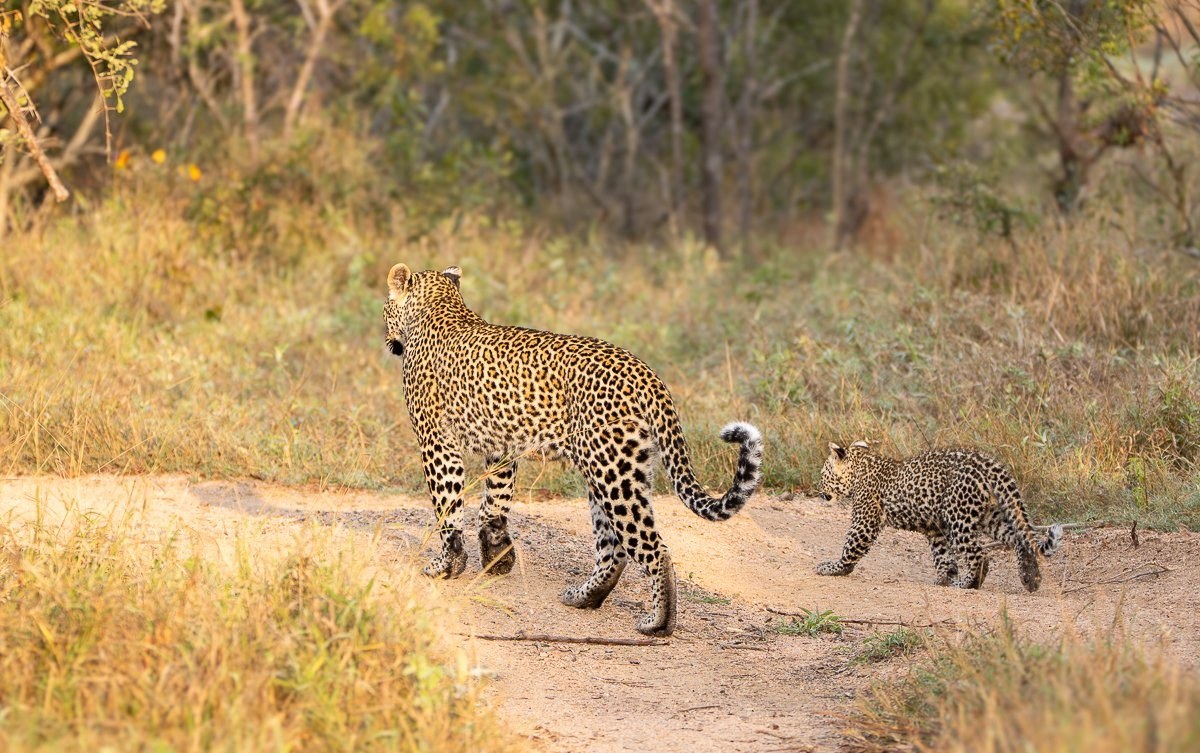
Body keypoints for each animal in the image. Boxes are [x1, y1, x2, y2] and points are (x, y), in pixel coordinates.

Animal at [382, 263, 764, 635]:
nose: (387, 340)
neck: (442, 308)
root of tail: (647, 375)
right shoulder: (501, 447)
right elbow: (494, 503)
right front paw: (497, 555)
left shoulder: (435, 441)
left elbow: (448, 506)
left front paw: (446, 565)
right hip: (615, 470)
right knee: (614, 548)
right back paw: (584, 597)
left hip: (613, 473)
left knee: (654, 548)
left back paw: (658, 623)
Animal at [815, 441, 1063, 591]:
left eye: (823, 474)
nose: (818, 490)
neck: (861, 469)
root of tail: (988, 463)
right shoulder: (935, 529)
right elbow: (943, 555)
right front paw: (944, 578)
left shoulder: (866, 519)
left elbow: (851, 546)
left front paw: (834, 567)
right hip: (989, 516)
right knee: (1019, 538)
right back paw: (1031, 578)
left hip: (959, 515)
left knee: (979, 553)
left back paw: (968, 584)